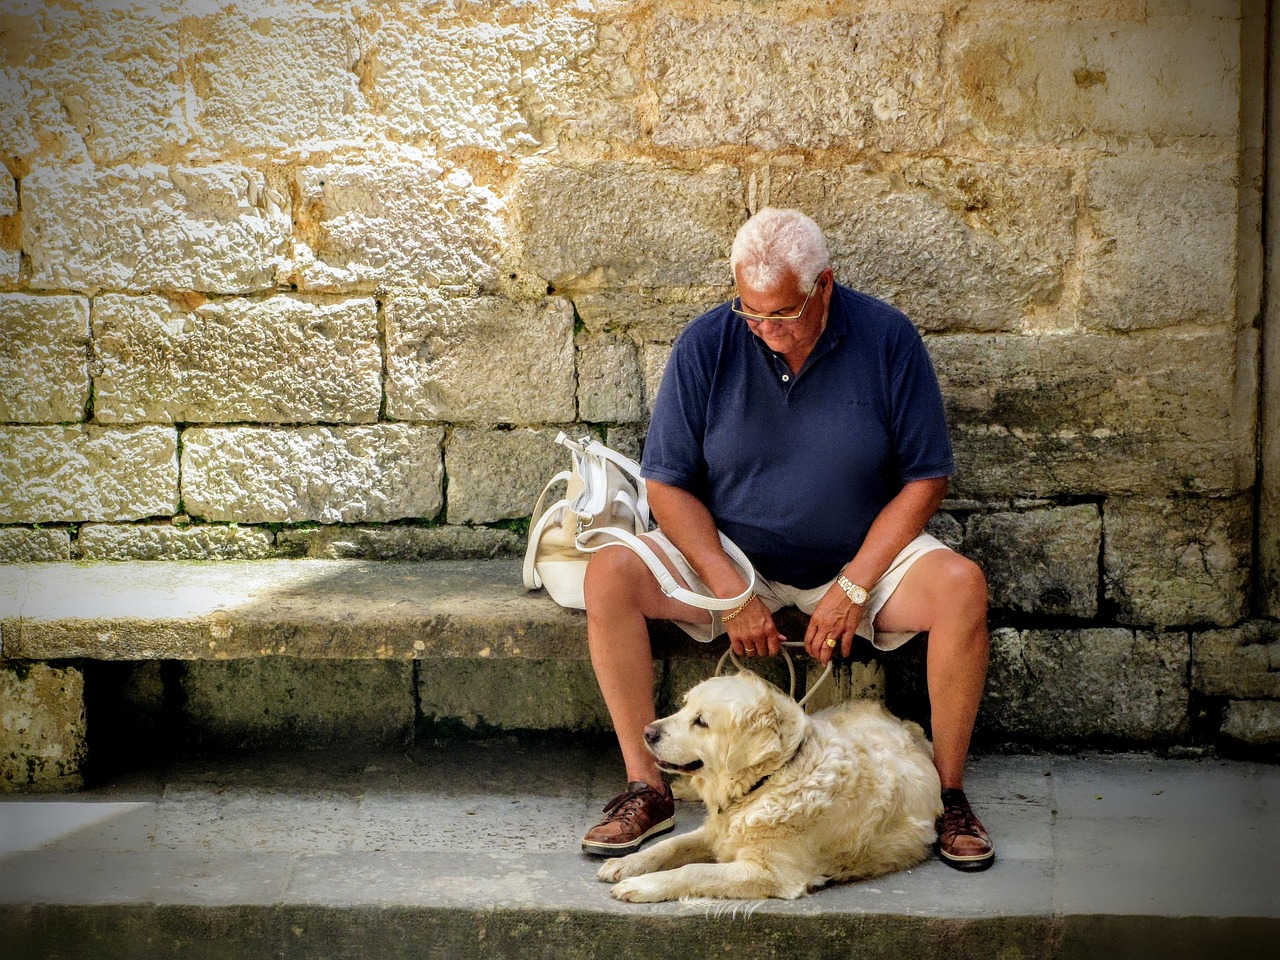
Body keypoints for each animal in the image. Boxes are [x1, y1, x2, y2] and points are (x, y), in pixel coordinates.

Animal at [596, 670, 942, 906]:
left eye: (702, 722)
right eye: (683, 707)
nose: (647, 732)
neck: (769, 781)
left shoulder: (771, 872)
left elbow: (693, 870)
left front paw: (643, 885)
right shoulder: (717, 831)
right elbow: (669, 845)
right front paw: (625, 864)